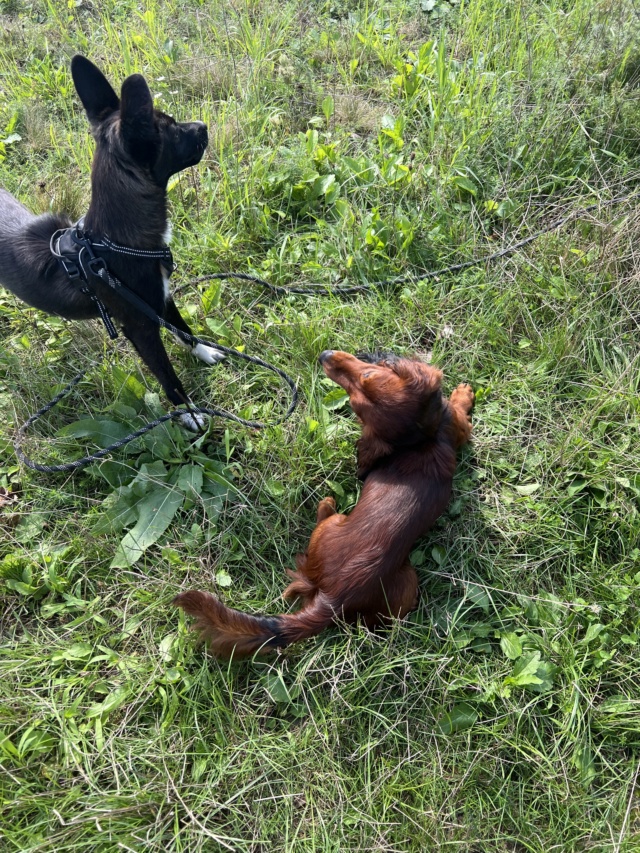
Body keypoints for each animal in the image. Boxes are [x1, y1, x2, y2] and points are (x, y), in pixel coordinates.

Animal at [0, 54, 222, 426]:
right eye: (174, 131)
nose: (204, 126)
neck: (110, 244)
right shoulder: (140, 328)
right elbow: (169, 379)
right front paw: (190, 413)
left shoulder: (160, 298)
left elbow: (184, 330)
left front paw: (203, 352)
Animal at [172, 350, 472, 656]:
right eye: (353, 402)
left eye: (367, 376)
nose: (326, 356)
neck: (422, 440)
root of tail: (334, 598)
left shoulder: (457, 424)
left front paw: (463, 393)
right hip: (395, 573)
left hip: (359, 546)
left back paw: (327, 503)